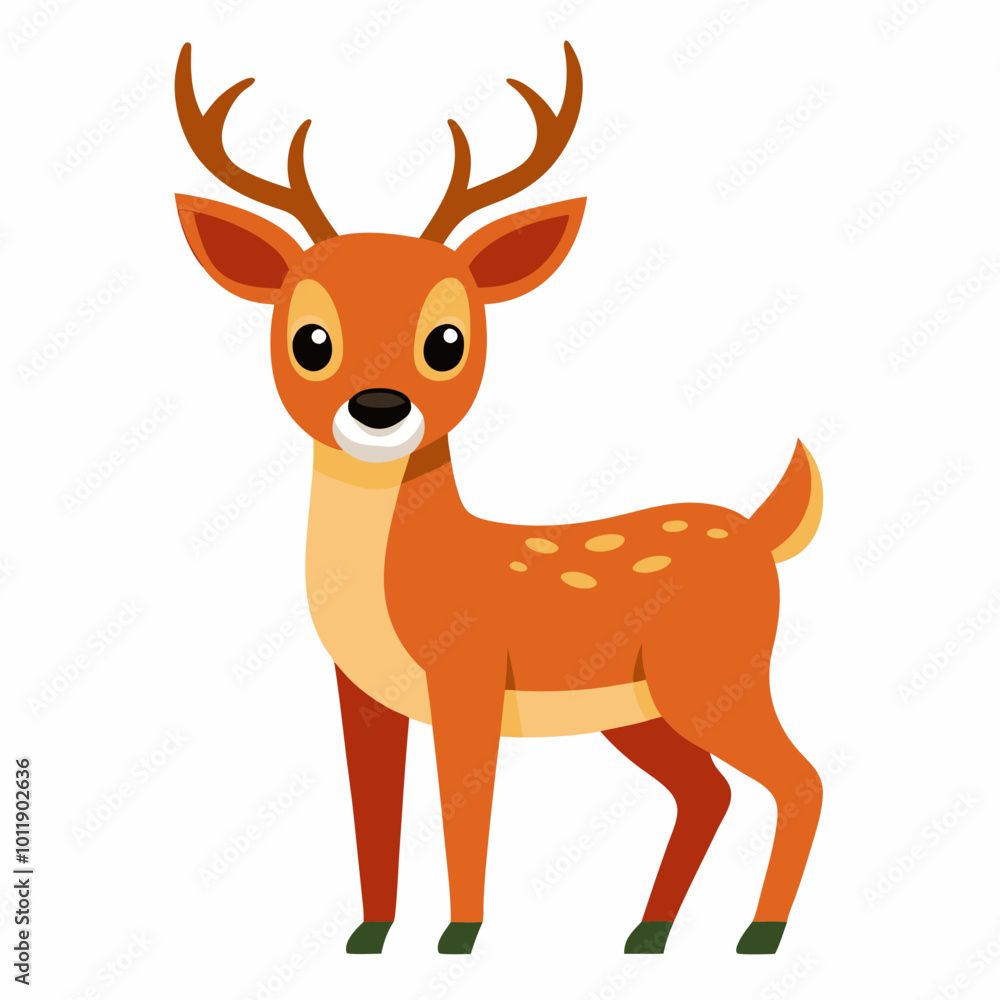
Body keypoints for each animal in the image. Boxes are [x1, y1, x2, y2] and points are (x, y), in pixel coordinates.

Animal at [173, 40, 824, 957]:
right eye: (310, 338)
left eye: (448, 339)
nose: (379, 408)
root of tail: (762, 533)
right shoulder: (361, 695)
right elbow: (373, 814)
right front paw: (370, 934)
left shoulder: (470, 675)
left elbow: (464, 808)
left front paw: (460, 935)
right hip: (643, 709)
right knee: (709, 792)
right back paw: (648, 932)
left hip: (717, 675)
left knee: (799, 778)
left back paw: (757, 935)